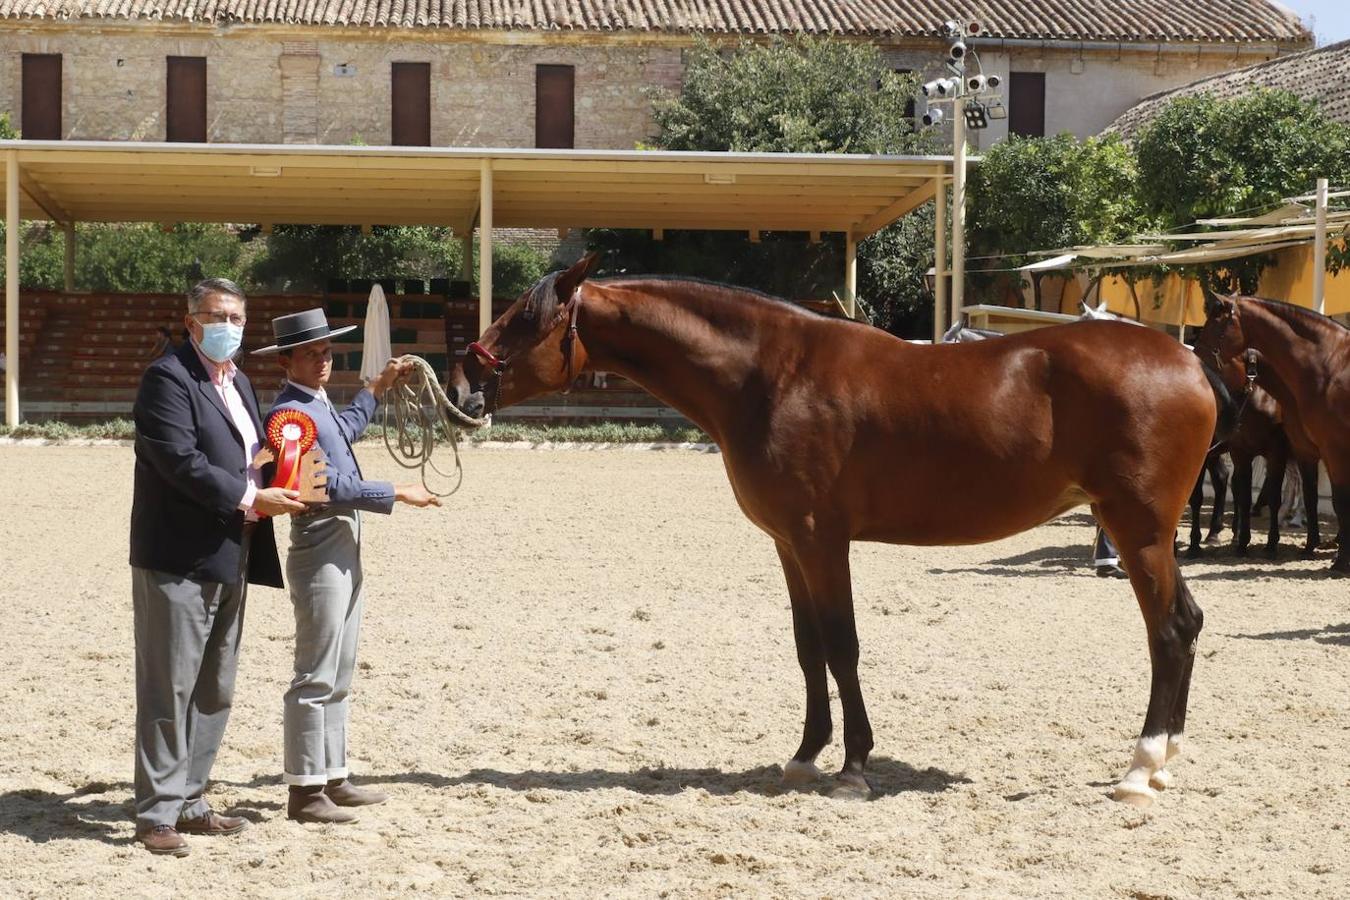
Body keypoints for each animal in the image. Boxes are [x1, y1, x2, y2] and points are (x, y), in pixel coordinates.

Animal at [450, 255, 1225, 809]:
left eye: (522, 320)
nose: (463, 387)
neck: (770, 375)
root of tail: (1187, 360)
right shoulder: (789, 544)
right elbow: (808, 649)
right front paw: (804, 757)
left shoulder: (824, 541)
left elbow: (843, 645)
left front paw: (853, 766)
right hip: (1144, 533)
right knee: (1185, 625)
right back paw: (1164, 764)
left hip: (1138, 530)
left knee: (1168, 631)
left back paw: (1140, 769)